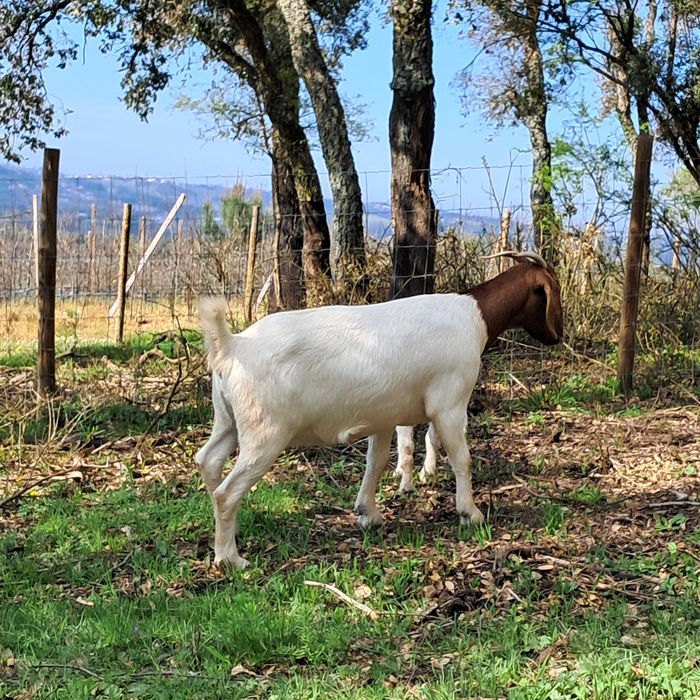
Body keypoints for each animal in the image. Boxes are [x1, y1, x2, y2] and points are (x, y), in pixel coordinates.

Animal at [195, 250, 563, 568]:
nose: (557, 337)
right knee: (227, 492)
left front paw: (367, 514)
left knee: (208, 461)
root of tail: (232, 347)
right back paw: (230, 559)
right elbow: (462, 458)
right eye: (553, 289)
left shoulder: (385, 415)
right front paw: (470, 513)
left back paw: (228, 535)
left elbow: (377, 461)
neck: (474, 316)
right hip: (265, 432)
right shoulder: (449, 403)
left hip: (228, 421)